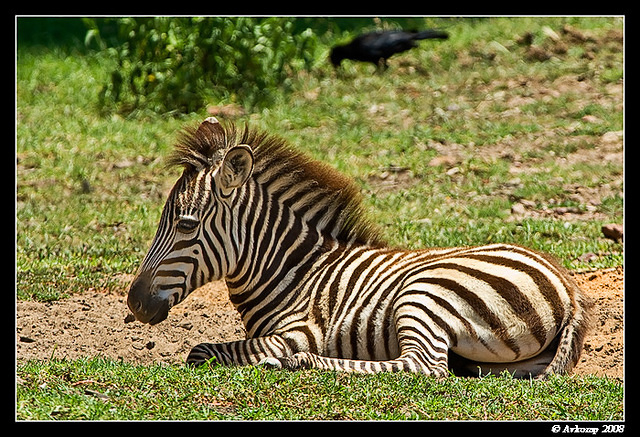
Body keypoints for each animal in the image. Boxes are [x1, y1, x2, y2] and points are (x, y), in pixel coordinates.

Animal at [127, 117, 592, 376]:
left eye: (186, 225)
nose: (134, 304)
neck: (295, 271)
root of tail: (569, 288)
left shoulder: (301, 331)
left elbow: (200, 351)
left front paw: (281, 358)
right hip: (509, 360)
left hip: (425, 295)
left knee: (423, 367)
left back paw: (300, 364)